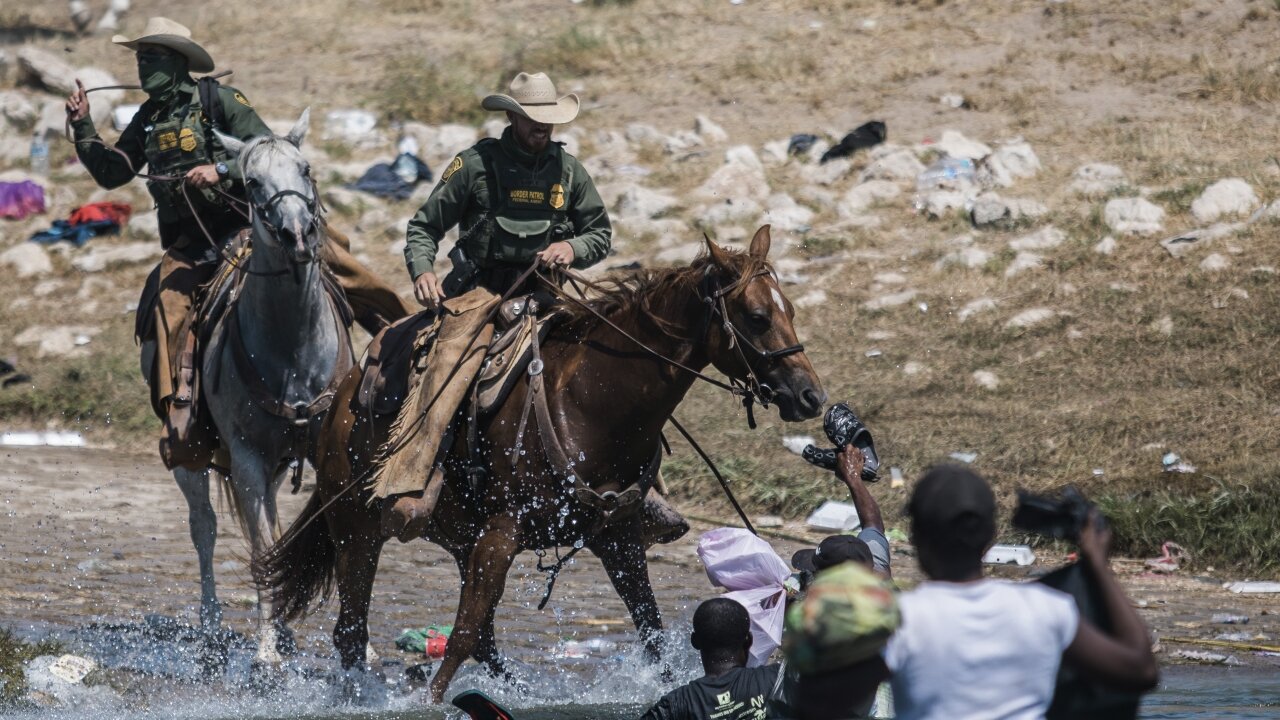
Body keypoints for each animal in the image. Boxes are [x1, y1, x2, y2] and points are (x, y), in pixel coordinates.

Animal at [165, 107, 358, 666]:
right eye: (251, 182)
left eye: (306, 169)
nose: (297, 235)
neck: (292, 348)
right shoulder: (247, 459)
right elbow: (260, 547)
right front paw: (266, 650)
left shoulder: (326, 450)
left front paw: (359, 647)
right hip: (192, 456)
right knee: (205, 528)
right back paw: (213, 629)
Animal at [254, 224, 824, 696]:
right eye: (757, 317)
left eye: (792, 311)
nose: (810, 396)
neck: (592, 404)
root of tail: (339, 400)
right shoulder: (503, 534)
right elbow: (461, 636)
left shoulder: (617, 539)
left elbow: (652, 632)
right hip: (357, 530)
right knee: (353, 631)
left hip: (458, 536)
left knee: (479, 638)